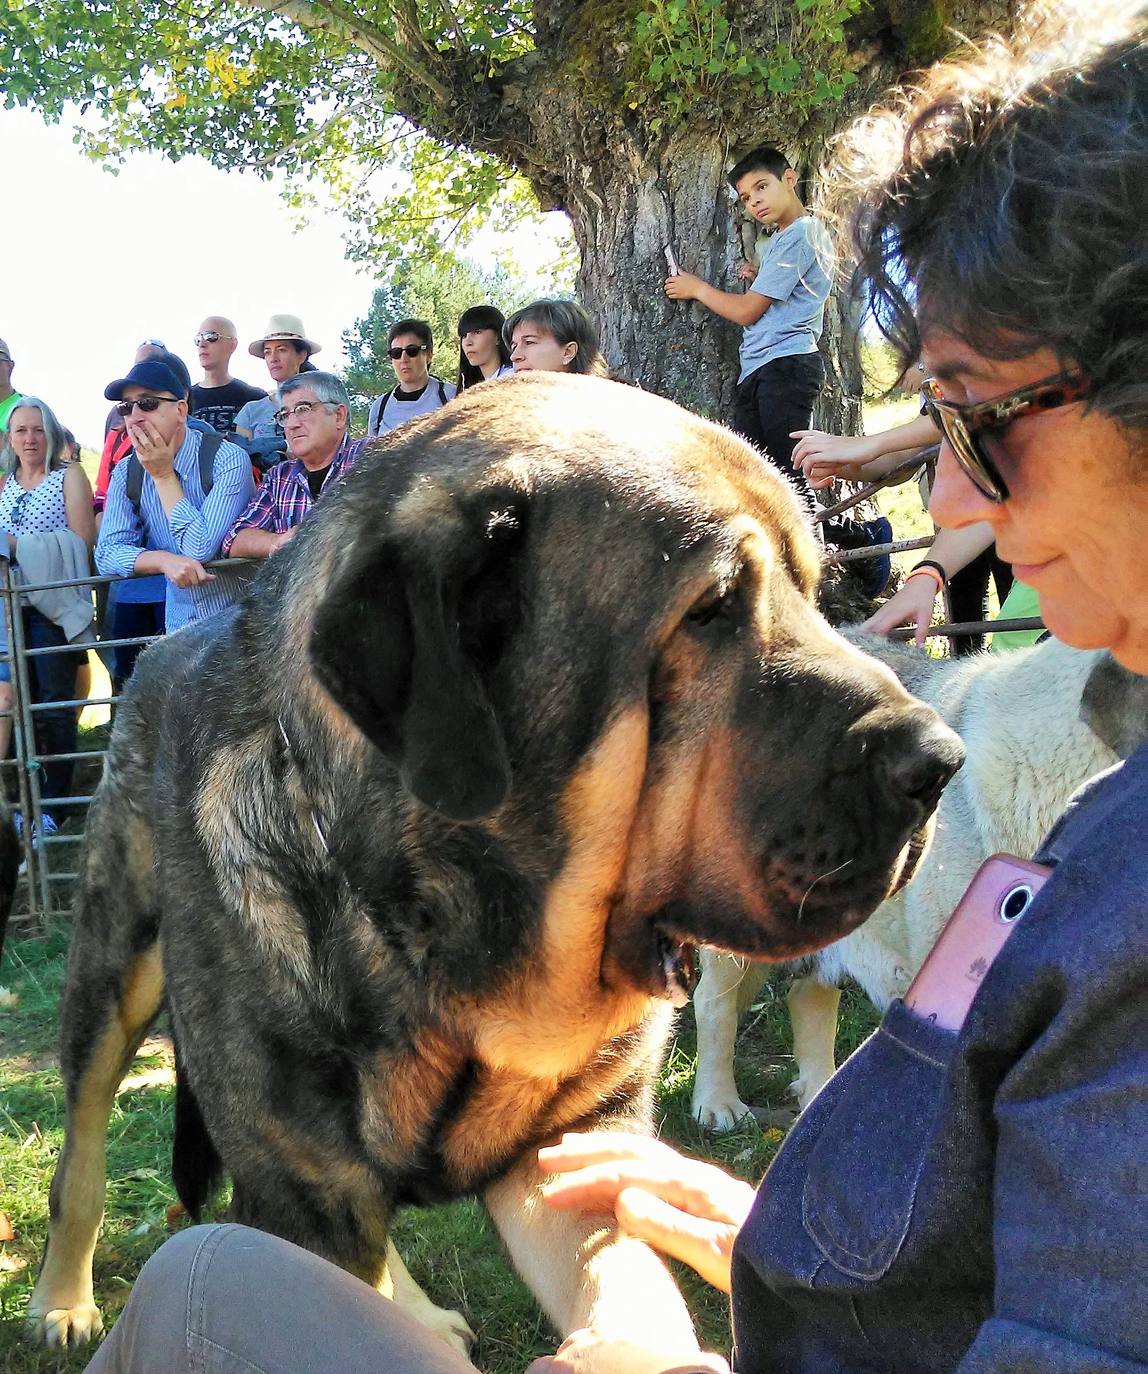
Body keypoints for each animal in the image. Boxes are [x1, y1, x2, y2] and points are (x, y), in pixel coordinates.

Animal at [29, 376, 961, 1352]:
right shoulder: (303, 1195)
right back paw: (63, 1299)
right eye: (708, 609)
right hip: (113, 968)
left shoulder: (577, 1145)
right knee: (82, 1151)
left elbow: (622, 1288)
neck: (466, 940)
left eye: (813, 590)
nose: (939, 761)